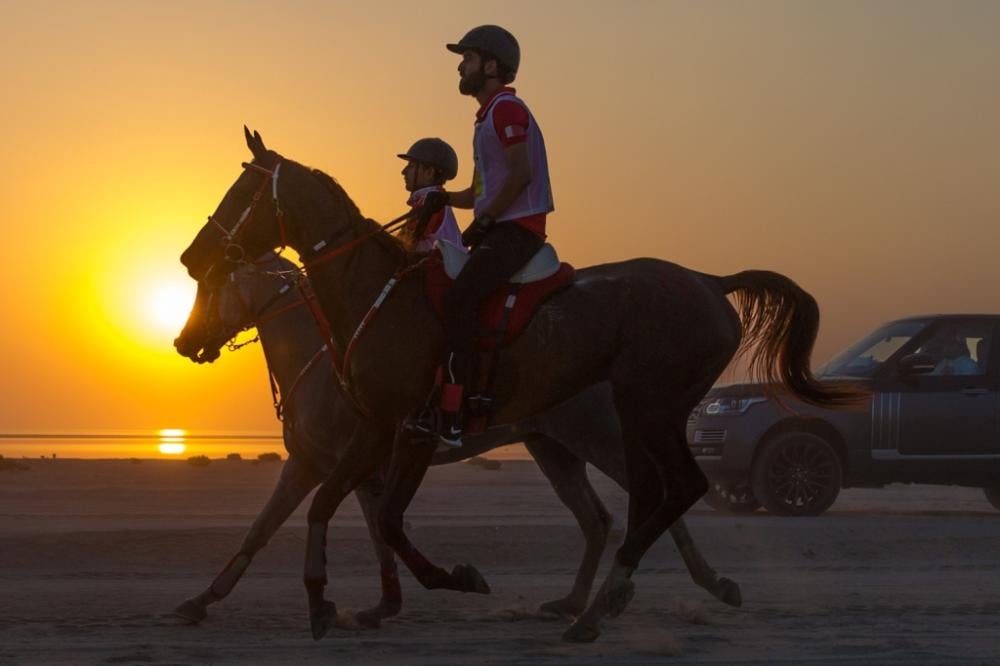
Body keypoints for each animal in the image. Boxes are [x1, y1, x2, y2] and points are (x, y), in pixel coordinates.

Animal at [182, 127, 868, 640]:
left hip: (636, 419)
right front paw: (300, 602)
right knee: (618, 510)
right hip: (569, 443)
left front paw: (421, 586)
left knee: (670, 494)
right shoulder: (356, 448)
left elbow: (373, 524)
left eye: (243, 189)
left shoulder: (396, 437)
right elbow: (321, 521)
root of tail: (707, 281)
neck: (372, 301)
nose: (191, 260)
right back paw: (586, 602)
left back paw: (633, 598)